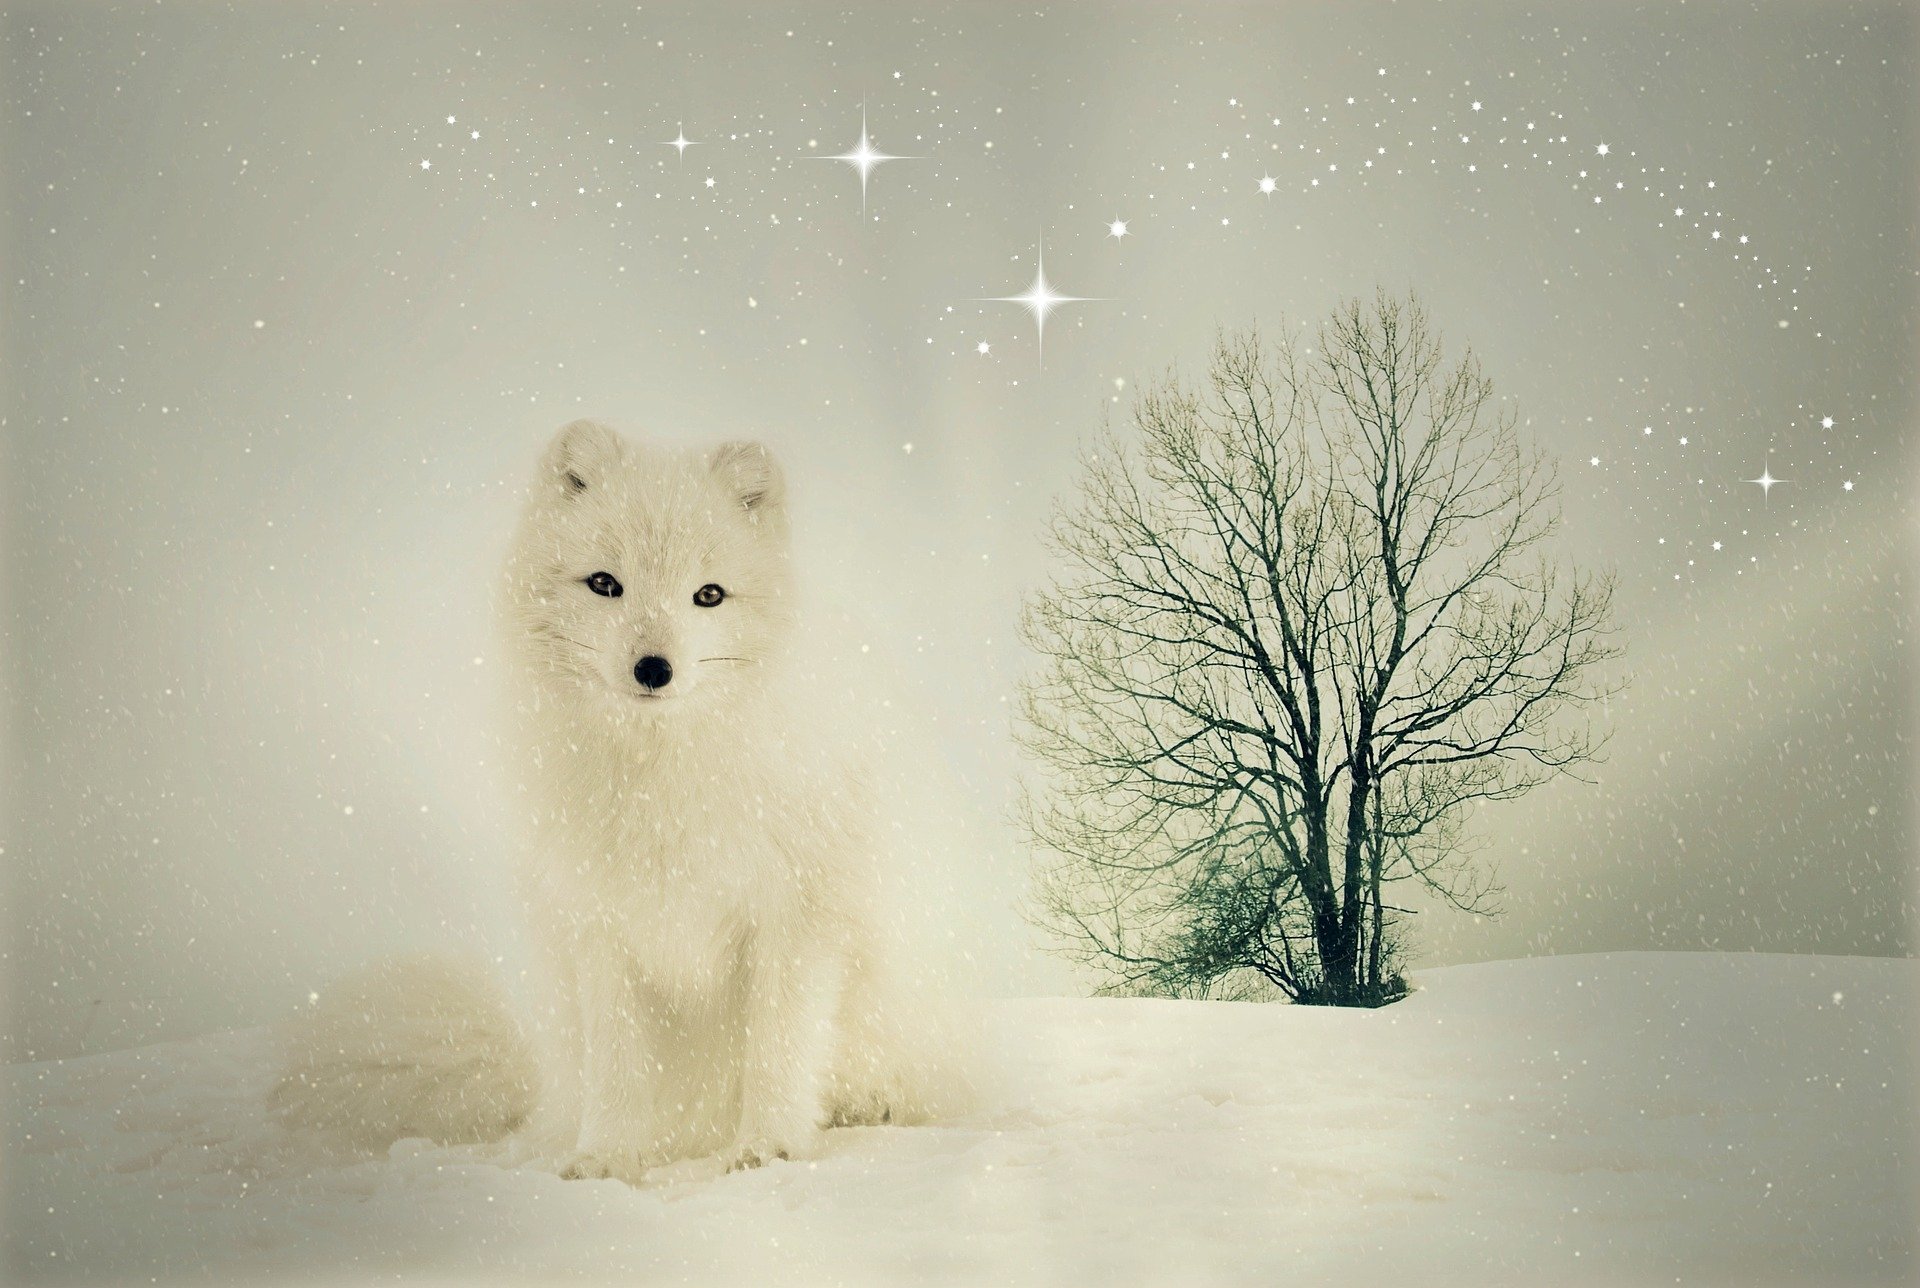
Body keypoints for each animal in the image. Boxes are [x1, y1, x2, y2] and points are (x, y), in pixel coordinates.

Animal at [268, 420, 964, 1181]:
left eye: (709, 595)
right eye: (605, 584)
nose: (653, 669)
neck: (659, 780)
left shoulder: (796, 911)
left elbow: (776, 1048)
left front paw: (768, 1148)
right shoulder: (600, 923)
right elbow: (620, 1064)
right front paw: (607, 1159)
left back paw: (864, 1105)